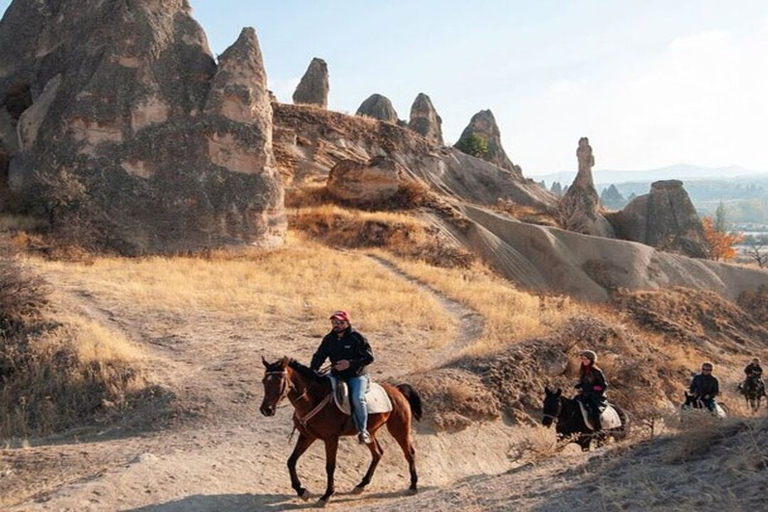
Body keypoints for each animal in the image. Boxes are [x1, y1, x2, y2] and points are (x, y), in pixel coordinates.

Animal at [260, 358, 424, 506]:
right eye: (264, 382)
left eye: (279, 381)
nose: (266, 409)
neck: (314, 398)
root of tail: (397, 390)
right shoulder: (307, 436)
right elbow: (291, 461)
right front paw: (302, 491)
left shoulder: (331, 438)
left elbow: (330, 466)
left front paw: (326, 495)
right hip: (370, 432)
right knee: (378, 453)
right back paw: (361, 485)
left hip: (399, 429)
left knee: (409, 453)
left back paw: (413, 486)